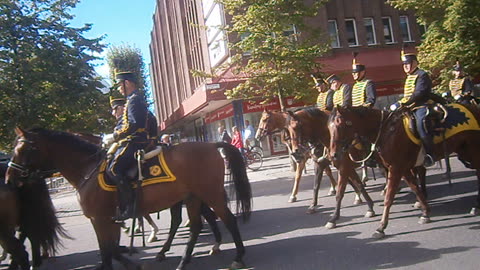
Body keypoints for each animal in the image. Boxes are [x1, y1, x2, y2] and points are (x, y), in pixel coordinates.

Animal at [6, 128, 251, 270]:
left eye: (23, 149)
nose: (9, 177)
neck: (87, 169)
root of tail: (211, 144)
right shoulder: (109, 218)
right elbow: (111, 248)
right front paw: (132, 262)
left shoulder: (99, 219)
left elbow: (107, 251)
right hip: (192, 197)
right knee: (196, 226)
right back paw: (183, 260)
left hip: (210, 193)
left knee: (228, 219)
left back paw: (238, 257)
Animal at [328, 105, 480, 238]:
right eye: (329, 128)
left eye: (341, 124)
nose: (333, 154)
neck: (386, 132)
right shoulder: (403, 168)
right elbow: (415, 188)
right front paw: (425, 213)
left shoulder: (395, 168)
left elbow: (388, 197)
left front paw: (381, 227)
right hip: (464, 151)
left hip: (473, 150)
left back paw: (476, 206)